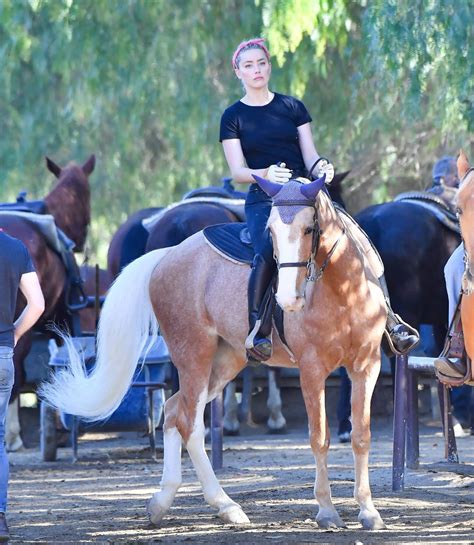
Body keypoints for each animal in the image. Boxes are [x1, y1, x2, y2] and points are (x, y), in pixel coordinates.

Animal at [40, 173, 386, 528]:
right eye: (271, 231)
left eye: (308, 229)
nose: (288, 299)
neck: (343, 292)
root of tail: (166, 255)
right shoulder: (311, 369)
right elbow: (319, 437)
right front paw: (327, 510)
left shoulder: (366, 365)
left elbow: (361, 435)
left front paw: (368, 510)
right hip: (194, 356)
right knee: (190, 424)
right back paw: (224, 504)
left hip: (224, 362)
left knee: (173, 411)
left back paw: (164, 500)